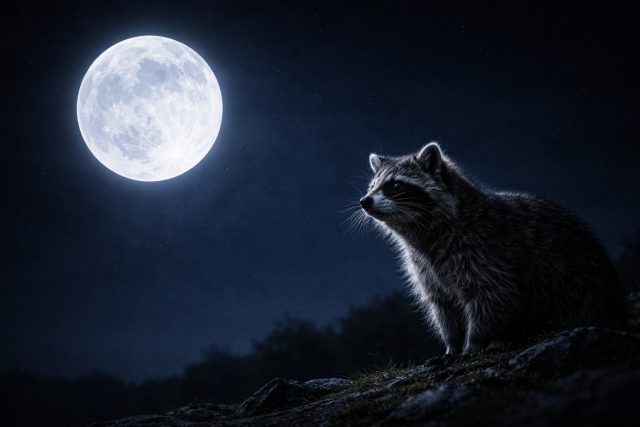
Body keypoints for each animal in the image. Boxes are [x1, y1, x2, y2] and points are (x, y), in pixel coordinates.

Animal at [360, 142, 627, 355]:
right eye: (372, 186)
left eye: (395, 185)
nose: (365, 201)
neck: (423, 234)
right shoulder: (424, 267)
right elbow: (443, 305)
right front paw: (452, 344)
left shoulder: (485, 250)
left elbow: (492, 296)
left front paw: (474, 343)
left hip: (580, 286)